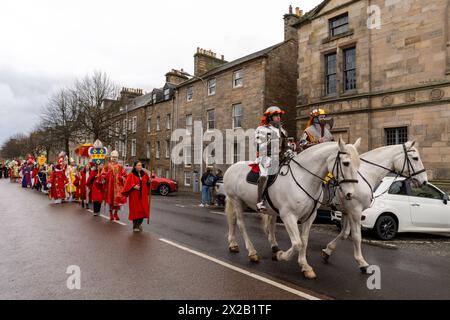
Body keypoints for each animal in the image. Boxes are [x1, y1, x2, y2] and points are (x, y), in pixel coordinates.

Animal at [225, 139, 362, 278]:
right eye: (346, 163)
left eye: (359, 164)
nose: (351, 194)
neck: (304, 178)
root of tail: (231, 167)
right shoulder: (288, 216)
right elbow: (297, 244)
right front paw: (280, 256)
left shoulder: (309, 216)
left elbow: (304, 241)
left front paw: (305, 266)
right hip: (236, 200)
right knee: (241, 224)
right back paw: (252, 252)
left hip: (246, 204)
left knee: (235, 220)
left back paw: (234, 244)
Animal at [320, 141, 428, 272]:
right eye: (415, 158)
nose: (424, 181)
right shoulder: (355, 211)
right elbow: (356, 236)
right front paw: (361, 262)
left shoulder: (346, 211)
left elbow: (344, 233)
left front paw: (328, 250)